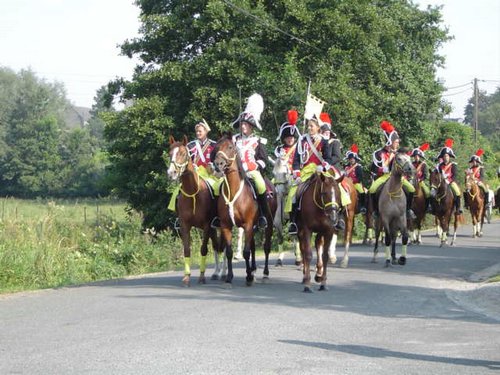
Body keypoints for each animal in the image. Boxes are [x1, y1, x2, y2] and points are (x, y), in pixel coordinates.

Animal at [167, 137, 220, 286]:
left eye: (183, 153)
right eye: (170, 153)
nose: (171, 173)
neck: (193, 193)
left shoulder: (207, 226)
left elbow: (203, 249)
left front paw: (201, 276)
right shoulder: (185, 226)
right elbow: (186, 250)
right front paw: (187, 277)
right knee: (216, 246)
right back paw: (217, 272)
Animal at [209, 137, 276, 286]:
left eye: (230, 147)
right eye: (216, 147)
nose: (218, 164)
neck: (233, 193)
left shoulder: (248, 224)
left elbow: (245, 252)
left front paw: (249, 277)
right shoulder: (226, 226)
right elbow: (229, 251)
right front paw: (229, 276)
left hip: (268, 224)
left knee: (266, 247)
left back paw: (265, 274)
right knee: (252, 246)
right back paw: (253, 269)